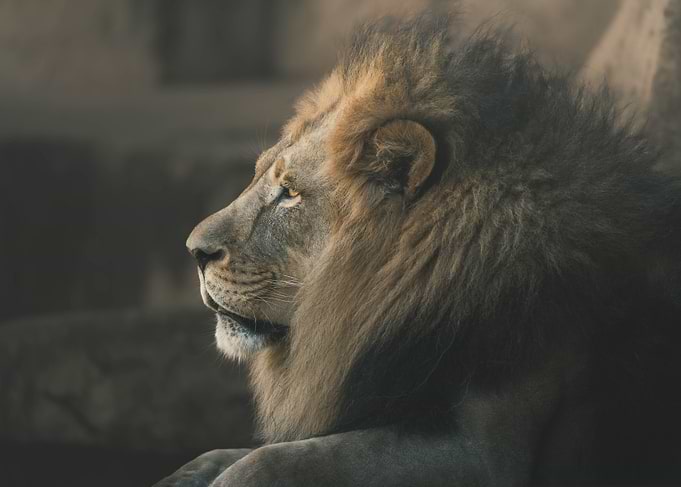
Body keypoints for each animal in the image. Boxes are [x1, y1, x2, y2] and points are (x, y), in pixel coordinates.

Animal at [157, 14, 681, 487]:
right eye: (260, 176)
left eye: (290, 193)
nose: (194, 251)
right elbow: (230, 453)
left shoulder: (486, 450)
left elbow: (270, 463)